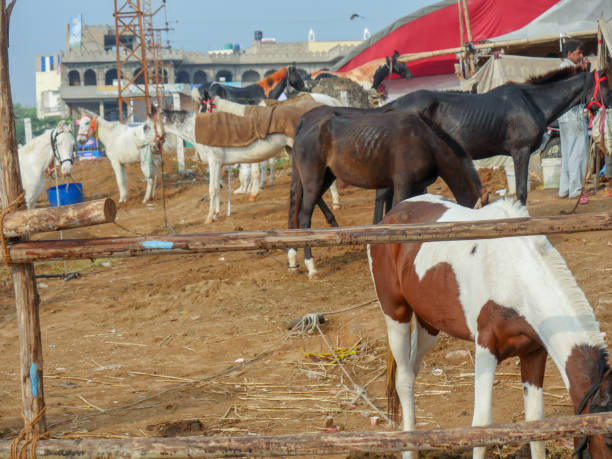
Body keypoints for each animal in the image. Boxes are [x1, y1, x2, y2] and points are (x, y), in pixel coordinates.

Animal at [147, 93, 344, 223]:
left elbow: (212, 189)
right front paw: (217, 213)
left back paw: (335, 202)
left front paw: (210, 216)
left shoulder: (214, 161)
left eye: (147, 126)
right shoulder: (219, 164)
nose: (152, 147)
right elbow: (217, 188)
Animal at [290, 107, 486, 280]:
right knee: (304, 218)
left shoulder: (419, 187)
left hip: (326, 178)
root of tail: (301, 133)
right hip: (313, 182)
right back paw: (311, 266)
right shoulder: (403, 185)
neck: (425, 141)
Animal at [368, 194, 612, 459]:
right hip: (396, 315)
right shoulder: (486, 349)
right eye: (608, 440)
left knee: (413, 369)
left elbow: (536, 424)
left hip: (429, 325)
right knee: (404, 379)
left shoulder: (534, 352)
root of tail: (393, 213)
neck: (517, 275)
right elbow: (482, 425)